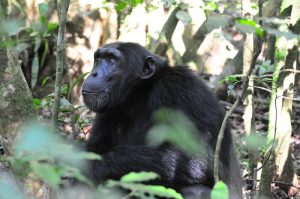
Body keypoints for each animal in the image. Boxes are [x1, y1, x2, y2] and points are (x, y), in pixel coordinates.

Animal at [81, 41, 243, 197]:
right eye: (98, 59)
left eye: (111, 60)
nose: (94, 73)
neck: (139, 95)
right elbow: (93, 147)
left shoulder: (184, 89)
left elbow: (202, 158)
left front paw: (91, 167)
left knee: (196, 191)